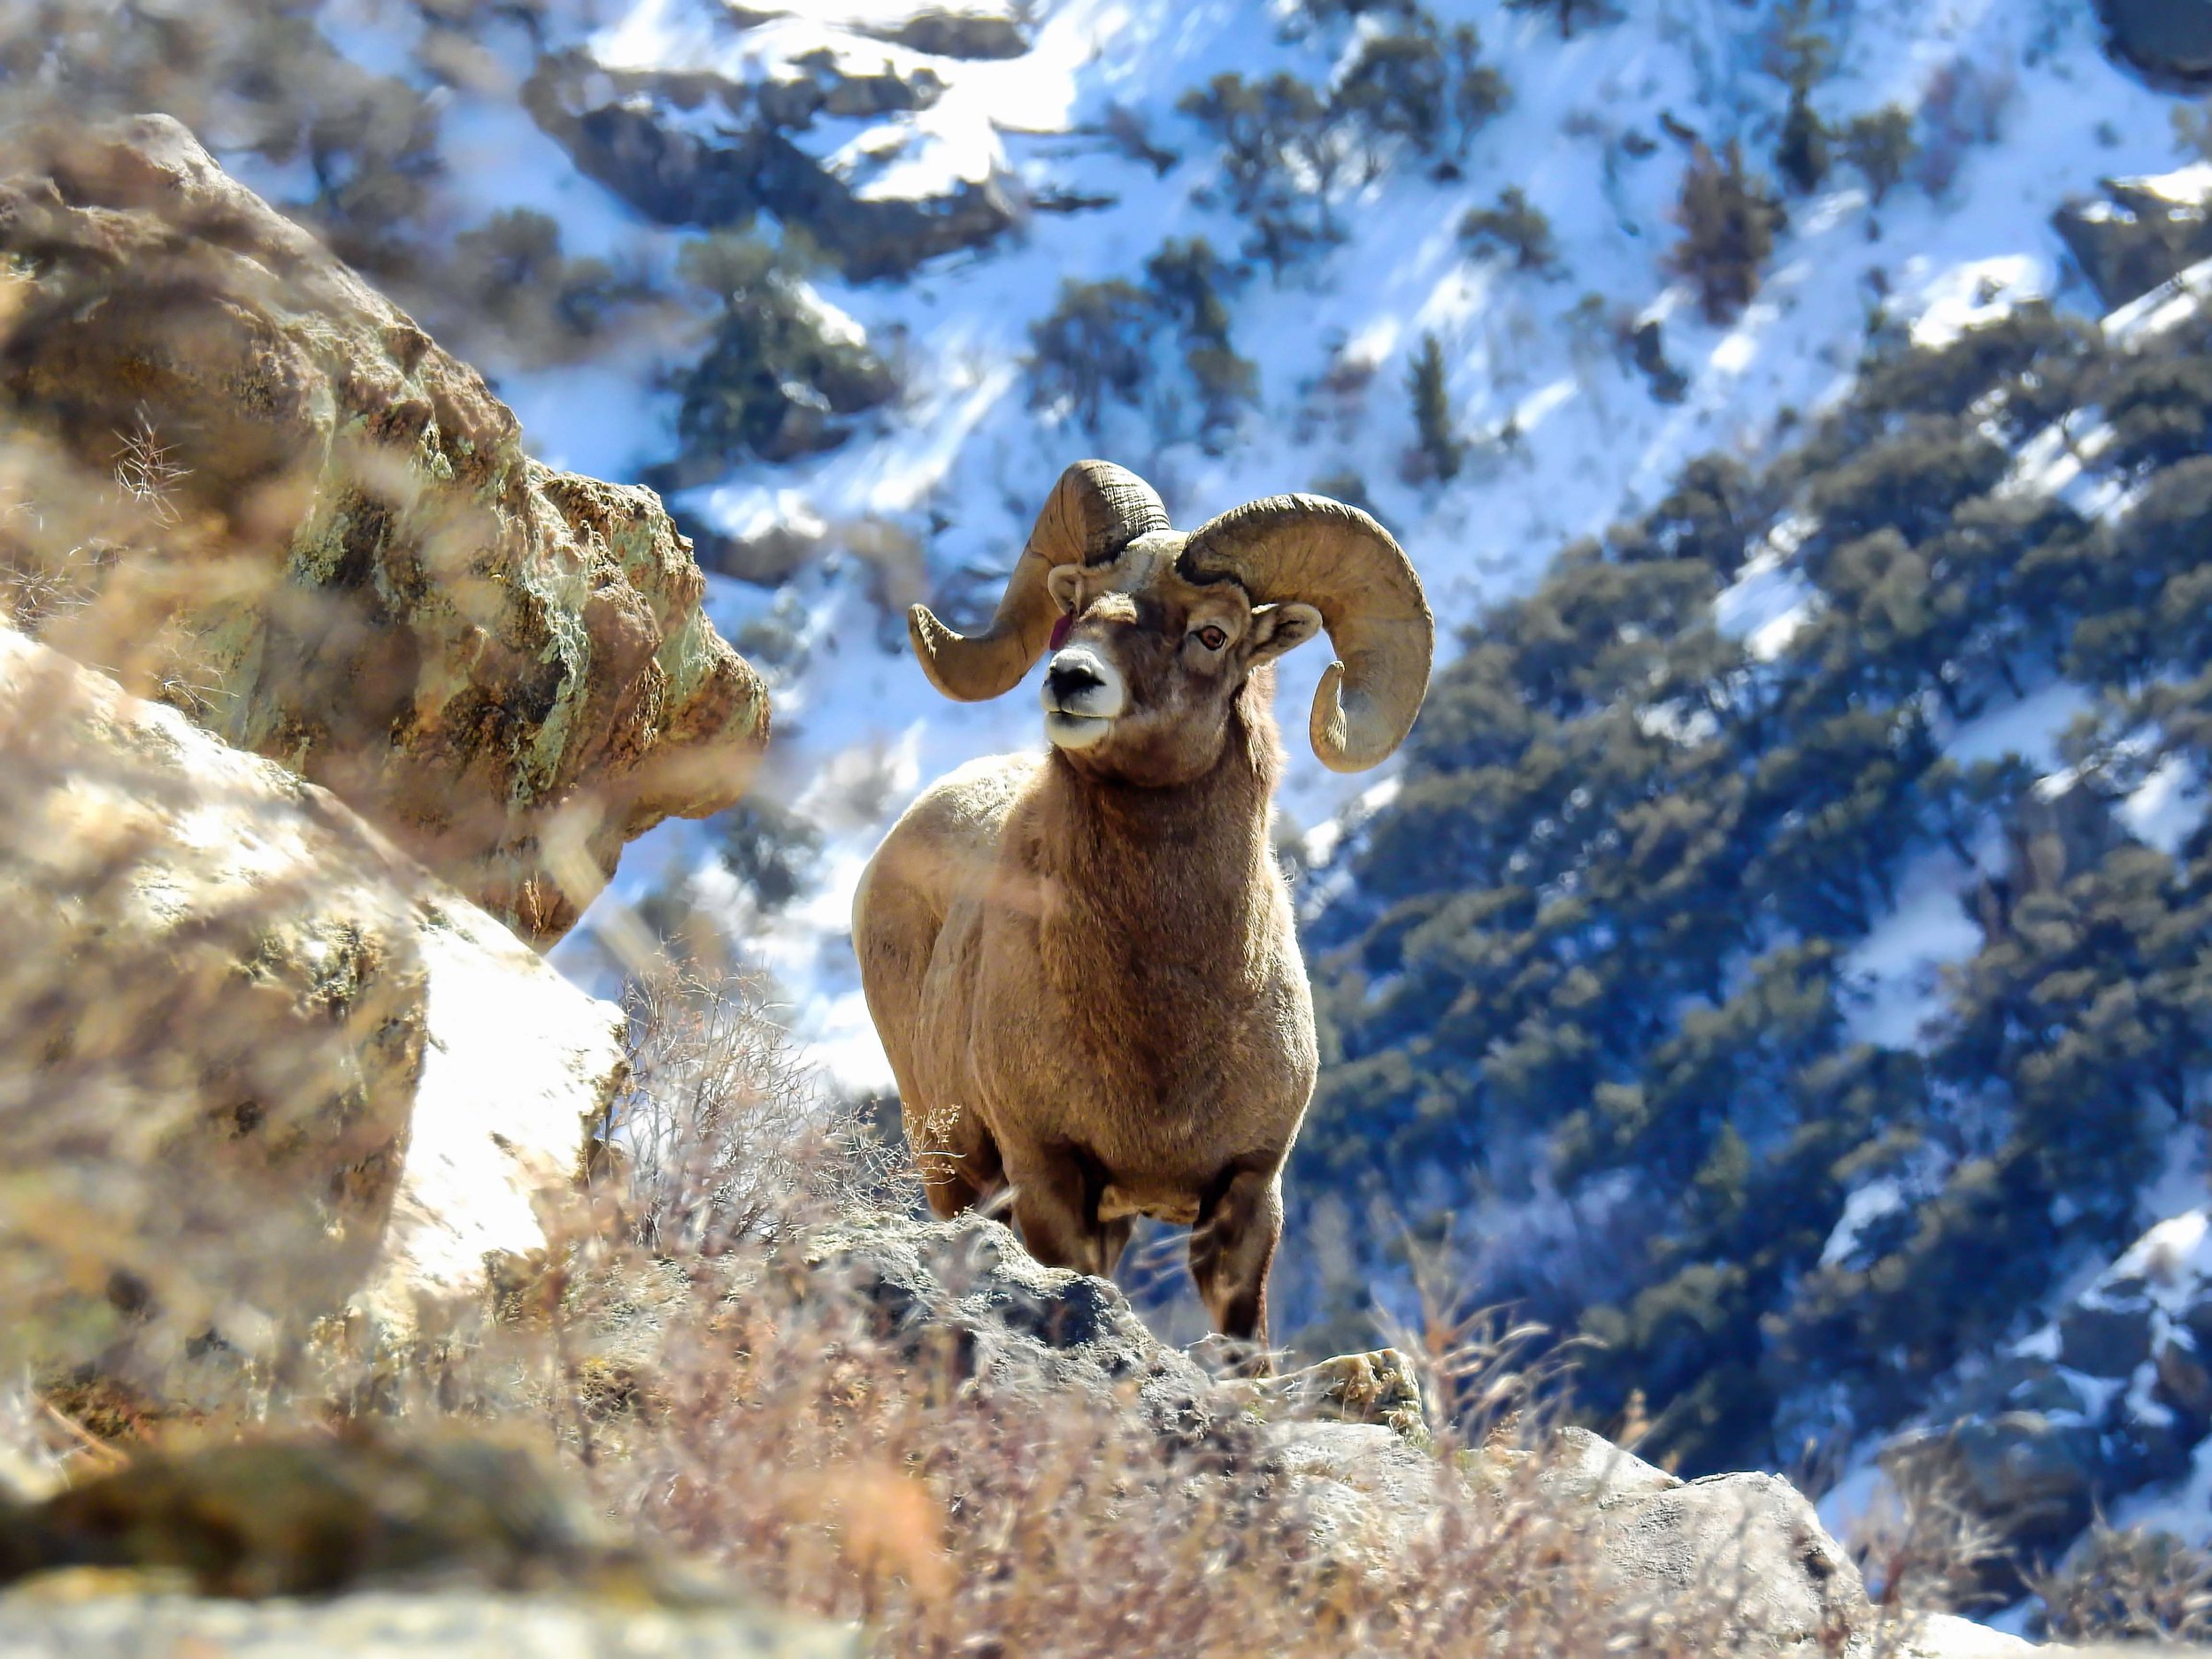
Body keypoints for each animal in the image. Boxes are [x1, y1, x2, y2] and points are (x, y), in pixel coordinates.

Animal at [852, 460, 1432, 1356]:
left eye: (1213, 634)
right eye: (1081, 602)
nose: (1070, 678)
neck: (1161, 1026)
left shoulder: (1249, 1193)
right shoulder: (1051, 1178)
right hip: (949, 1163)